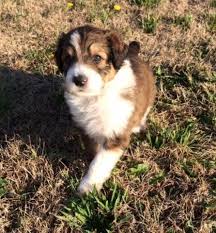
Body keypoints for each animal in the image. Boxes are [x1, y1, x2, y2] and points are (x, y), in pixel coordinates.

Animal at [54, 25, 155, 196]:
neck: (96, 96)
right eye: (68, 58)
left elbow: (99, 162)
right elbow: (93, 151)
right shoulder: (86, 129)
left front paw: (88, 187)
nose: (79, 80)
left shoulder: (116, 134)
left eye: (97, 58)